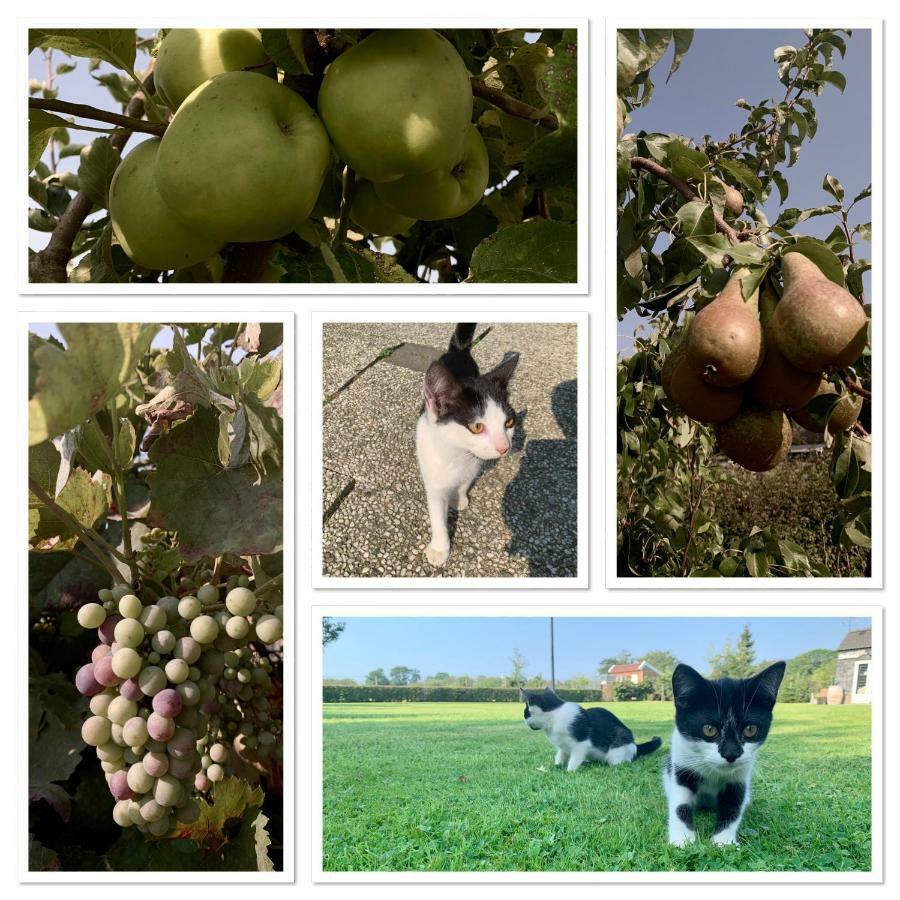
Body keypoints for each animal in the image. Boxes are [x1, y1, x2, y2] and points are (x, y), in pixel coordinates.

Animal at [416, 324, 516, 568]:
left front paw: (459, 499)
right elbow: (437, 514)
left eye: (509, 423)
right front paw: (439, 549)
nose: (504, 447)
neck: (457, 453)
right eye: (477, 427)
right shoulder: (433, 479)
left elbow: (464, 483)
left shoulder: (474, 465)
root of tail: (459, 351)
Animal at [520, 684, 660, 768]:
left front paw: (569, 771)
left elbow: (575, 759)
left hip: (618, 747)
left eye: (525, 713)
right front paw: (556, 766)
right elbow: (560, 755)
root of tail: (634, 745)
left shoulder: (581, 744)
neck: (554, 717)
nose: (524, 720)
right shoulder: (563, 747)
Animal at [664, 656, 784, 848]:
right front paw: (682, 839)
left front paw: (723, 841)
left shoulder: (740, 777)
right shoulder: (681, 763)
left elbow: (734, 805)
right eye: (709, 729)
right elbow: (679, 803)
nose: (731, 754)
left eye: (750, 729)